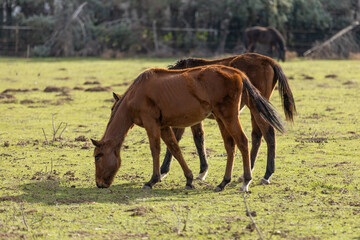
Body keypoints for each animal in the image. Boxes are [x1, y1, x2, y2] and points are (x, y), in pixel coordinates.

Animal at [91, 64, 286, 192]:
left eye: (98, 157)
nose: (99, 183)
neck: (137, 93)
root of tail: (238, 73)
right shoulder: (164, 126)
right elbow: (175, 149)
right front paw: (189, 179)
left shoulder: (151, 124)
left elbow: (155, 149)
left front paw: (152, 180)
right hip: (221, 119)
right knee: (230, 146)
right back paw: (223, 182)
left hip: (229, 118)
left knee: (243, 142)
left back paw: (246, 181)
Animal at [160, 52, 296, 184]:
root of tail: (268, 60)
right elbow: (198, 138)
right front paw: (202, 171)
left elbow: (176, 140)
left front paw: (163, 171)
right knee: (257, 136)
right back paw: (246, 174)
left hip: (256, 109)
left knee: (268, 133)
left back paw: (266, 175)